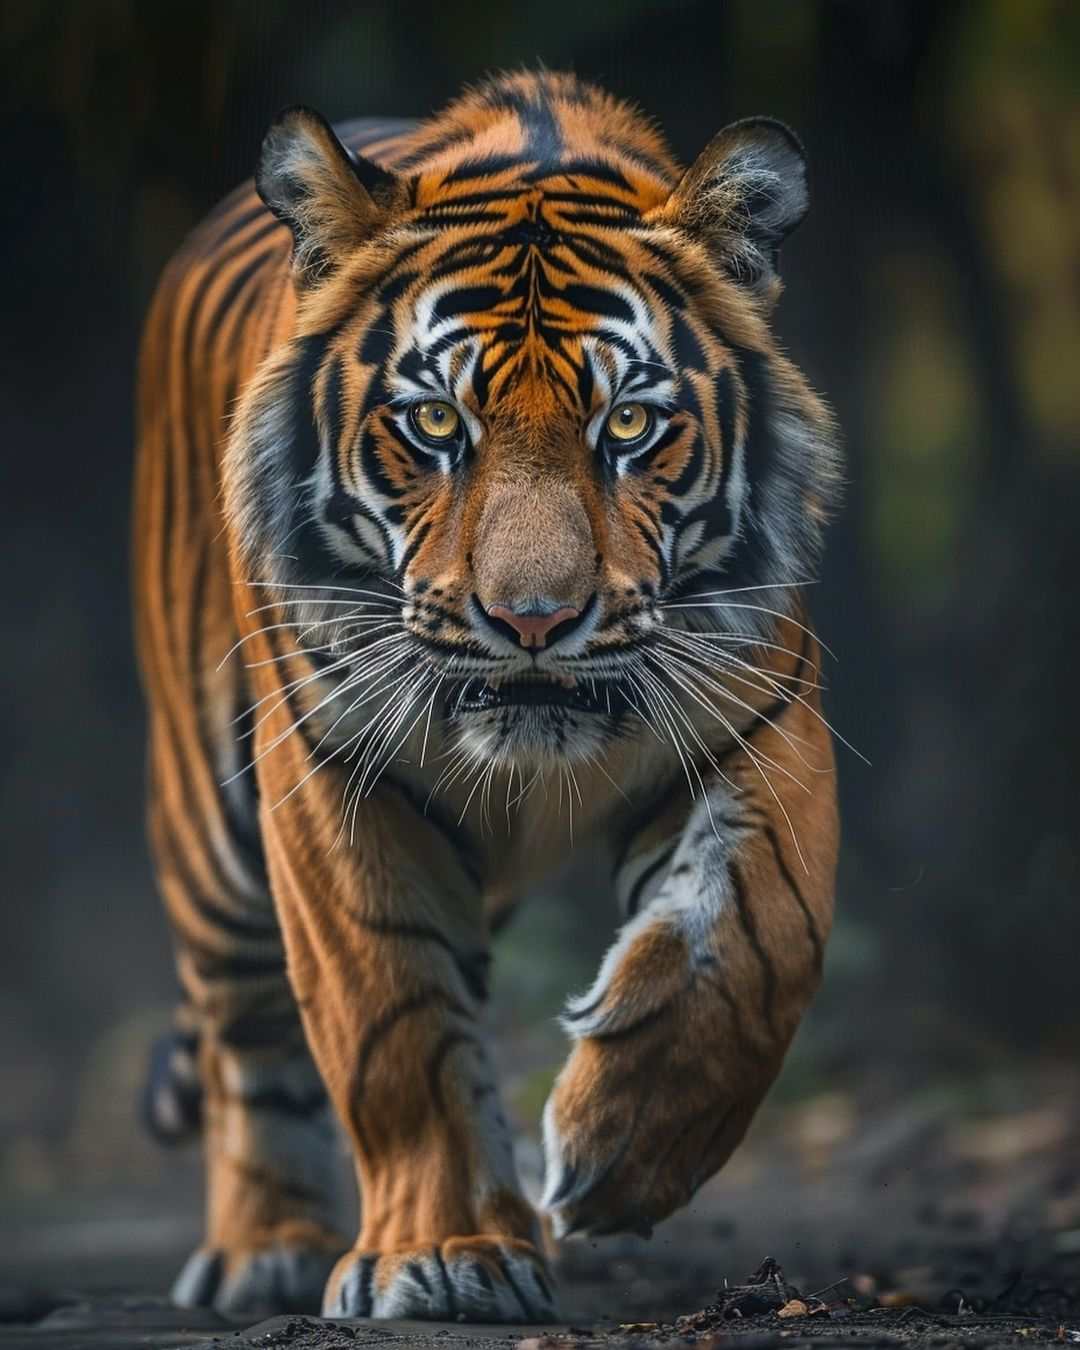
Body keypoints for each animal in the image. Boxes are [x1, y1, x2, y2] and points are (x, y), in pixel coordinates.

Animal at [133, 70, 841, 1324]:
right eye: (433, 424)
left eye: (627, 424)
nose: (534, 621)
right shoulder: (329, 778)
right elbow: (393, 1017)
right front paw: (445, 1254)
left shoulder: (764, 721)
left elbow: (757, 939)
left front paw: (619, 1150)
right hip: (211, 835)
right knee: (245, 1041)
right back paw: (265, 1247)